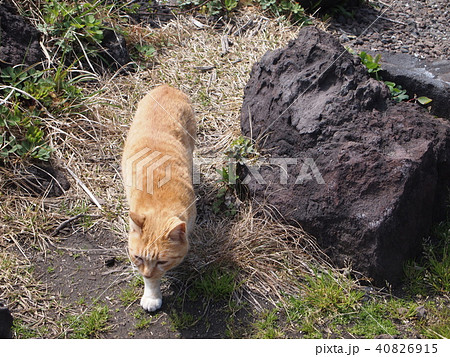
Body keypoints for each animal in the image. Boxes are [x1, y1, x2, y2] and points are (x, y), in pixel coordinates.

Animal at [120, 85, 196, 310]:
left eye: (162, 261)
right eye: (137, 257)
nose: (145, 273)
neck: (159, 200)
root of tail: (166, 87)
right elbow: (152, 282)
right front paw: (152, 294)